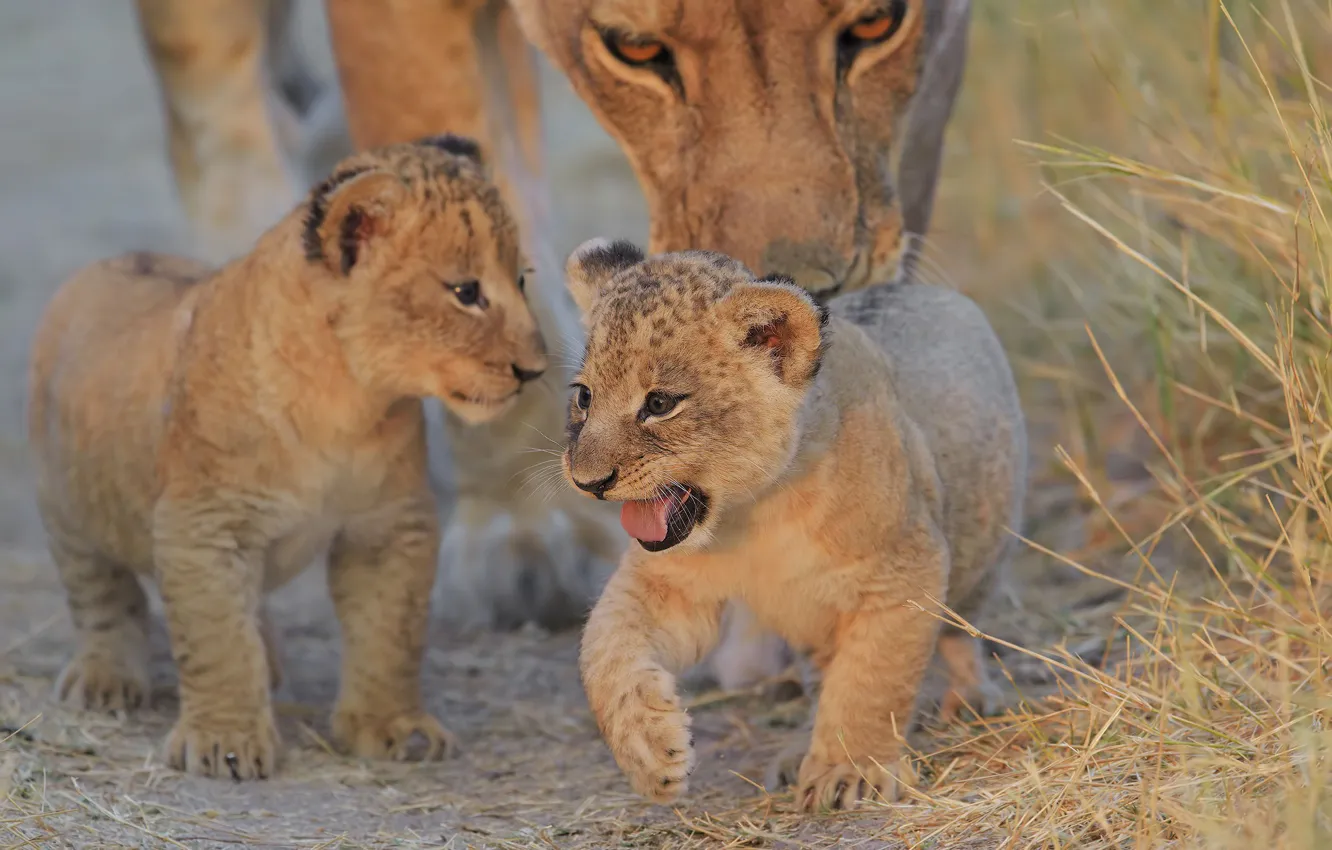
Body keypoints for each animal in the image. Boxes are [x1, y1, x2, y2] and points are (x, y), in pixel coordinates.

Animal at [26, 135, 548, 779]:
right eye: (466, 292)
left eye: (521, 280)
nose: (535, 371)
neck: (348, 404)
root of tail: (111, 261)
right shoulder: (203, 524)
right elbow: (217, 639)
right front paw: (224, 743)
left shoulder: (390, 524)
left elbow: (390, 634)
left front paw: (393, 728)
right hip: (68, 513)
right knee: (104, 597)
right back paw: (105, 678)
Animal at [559, 239, 1026, 811]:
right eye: (584, 396)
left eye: (660, 403)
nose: (589, 482)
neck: (757, 510)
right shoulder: (668, 581)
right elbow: (604, 643)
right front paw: (649, 751)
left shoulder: (903, 569)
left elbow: (872, 679)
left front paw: (848, 773)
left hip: (982, 552)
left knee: (961, 635)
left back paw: (971, 698)